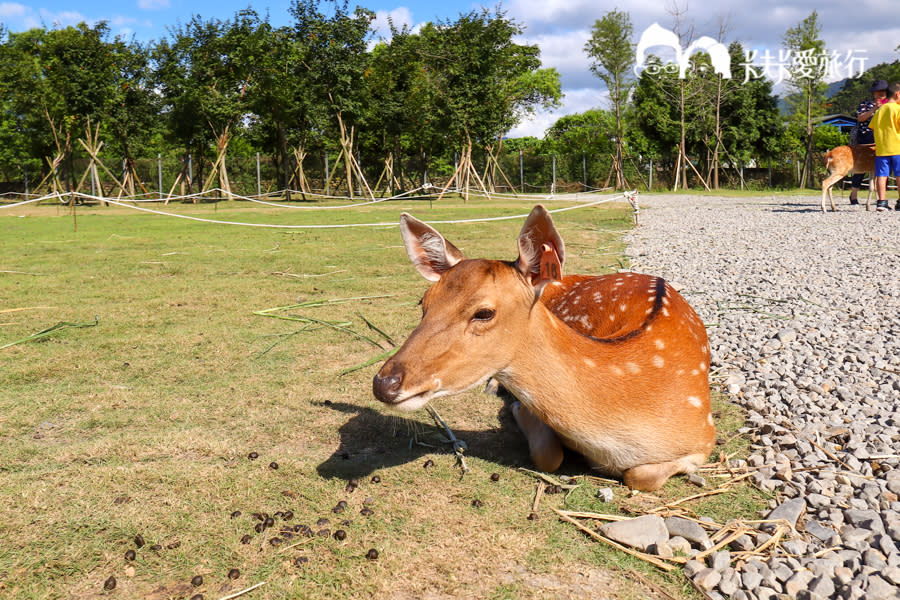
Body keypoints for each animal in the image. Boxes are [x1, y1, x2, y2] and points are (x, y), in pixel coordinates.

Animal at [370, 204, 712, 490]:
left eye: (484, 312)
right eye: (423, 302)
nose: (384, 383)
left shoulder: (704, 439)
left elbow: (641, 476)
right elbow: (549, 455)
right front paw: (515, 407)